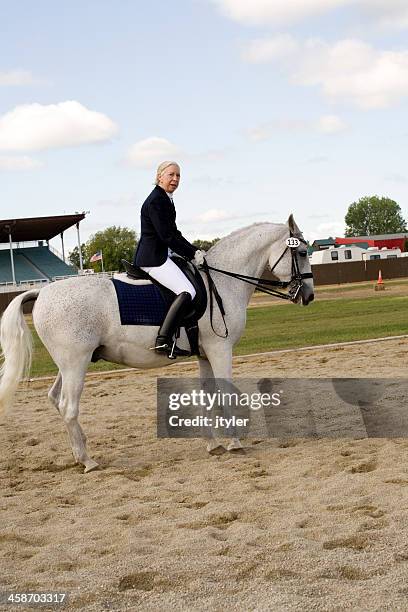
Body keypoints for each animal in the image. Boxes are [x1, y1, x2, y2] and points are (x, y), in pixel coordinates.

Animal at [0, 216, 314, 474]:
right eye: (301, 253)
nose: (309, 296)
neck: (222, 282)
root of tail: (42, 292)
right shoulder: (220, 350)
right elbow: (225, 394)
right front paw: (235, 443)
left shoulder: (205, 354)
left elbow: (208, 396)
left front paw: (213, 444)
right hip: (76, 363)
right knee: (68, 406)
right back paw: (88, 461)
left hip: (69, 364)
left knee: (55, 399)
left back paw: (80, 454)